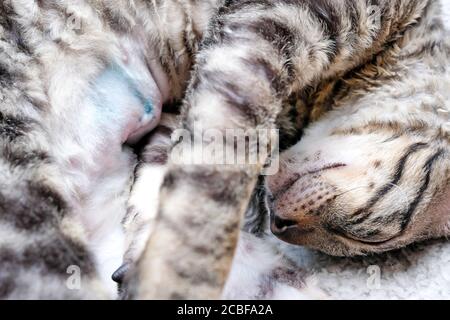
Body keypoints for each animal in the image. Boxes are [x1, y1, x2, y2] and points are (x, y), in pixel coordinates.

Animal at [0, 0, 448, 300]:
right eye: (370, 238)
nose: (277, 225)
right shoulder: (267, 31)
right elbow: (215, 187)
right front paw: (176, 278)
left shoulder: (176, 115)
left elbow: (170, 185)